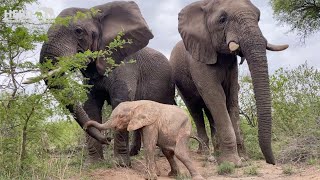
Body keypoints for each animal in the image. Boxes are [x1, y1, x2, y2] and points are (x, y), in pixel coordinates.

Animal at [36, 1, 175, 167]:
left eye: (78, 31)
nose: (107, 139)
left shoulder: (125, 64)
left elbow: (120, 102)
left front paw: (121, 164)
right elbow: (90, 106)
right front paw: (93, 164)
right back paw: (134, 153)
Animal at [170, 0, 290, 165]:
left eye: (258, 18)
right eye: (222, 20)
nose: (271, 162)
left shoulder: (232, 67)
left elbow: (232, 98)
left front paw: (243, 158)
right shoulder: (198, 60)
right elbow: (216, 96)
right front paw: (232, 162)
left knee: (209, 112)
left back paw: (216, 153)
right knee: (195, 110)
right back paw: (206, 155)